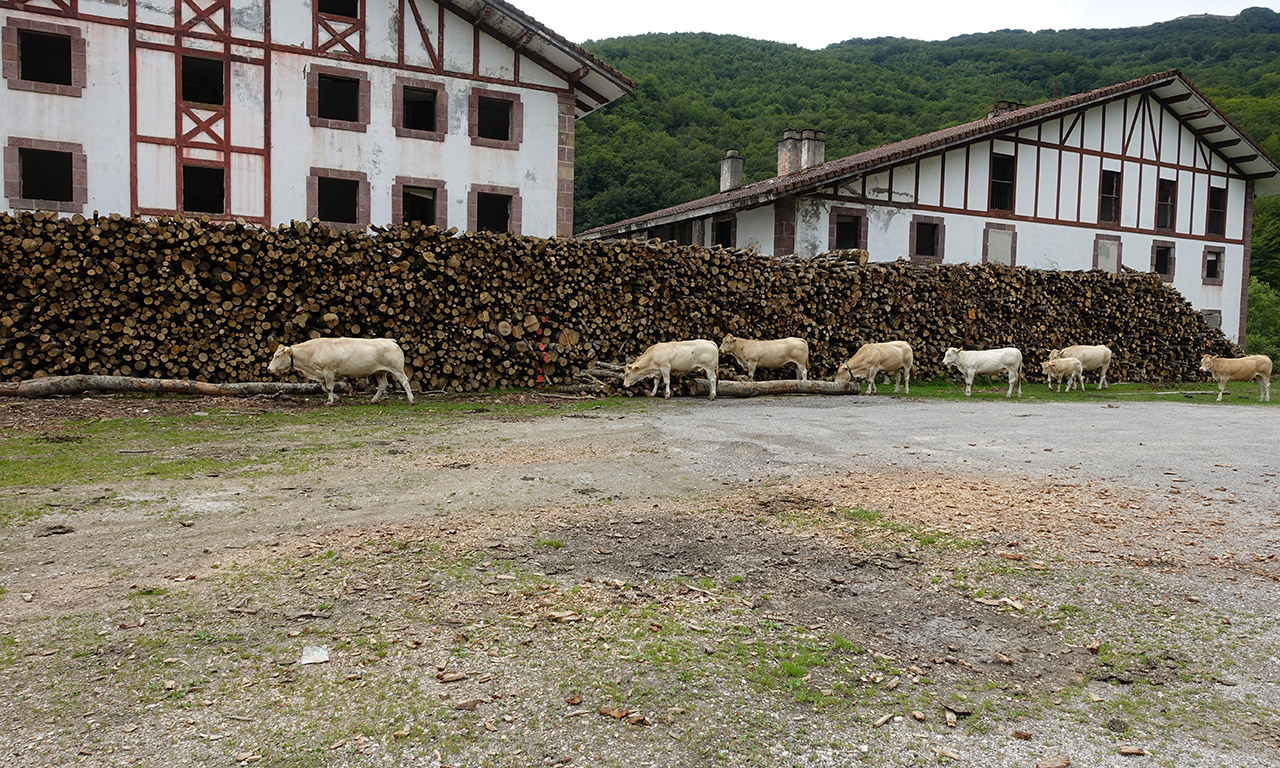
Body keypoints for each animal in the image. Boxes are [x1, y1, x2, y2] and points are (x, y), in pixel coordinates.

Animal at [267, 337, 412, 404]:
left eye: (277, 356)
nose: (269, 369)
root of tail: (390, 340)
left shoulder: (328, 371)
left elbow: (329, 388)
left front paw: (330, 401)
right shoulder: (321, 374)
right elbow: (325, 388)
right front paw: (337, 398)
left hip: (397, 368)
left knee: (405, 382)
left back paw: (411, 400)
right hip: (380, 371)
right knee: (382, 385)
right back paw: (373, 400)